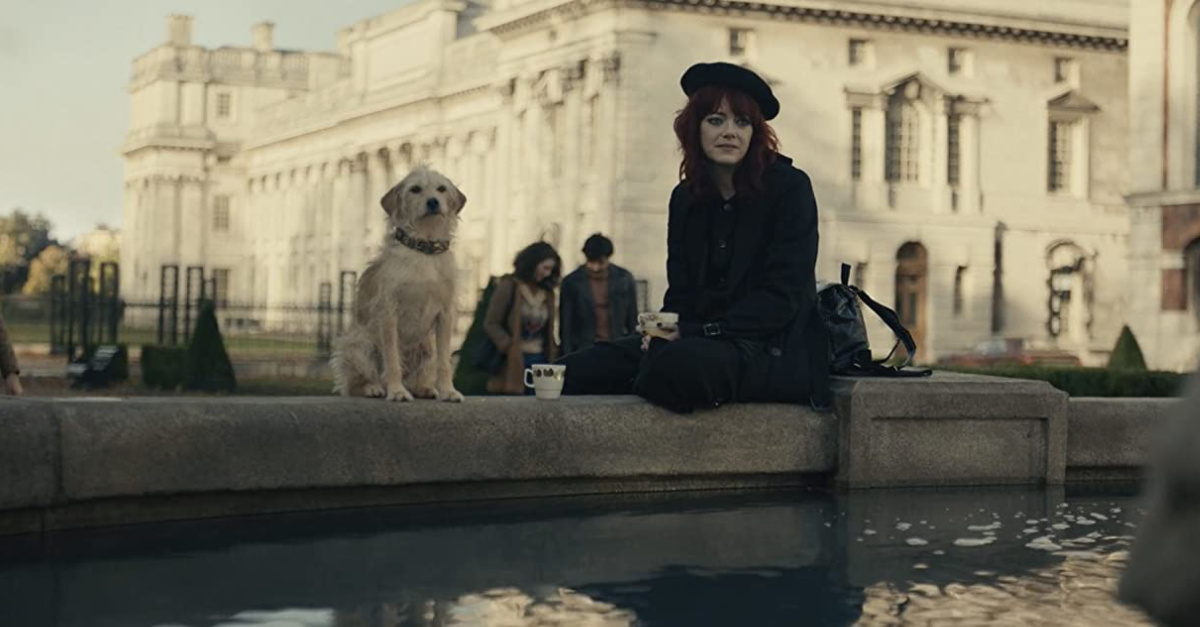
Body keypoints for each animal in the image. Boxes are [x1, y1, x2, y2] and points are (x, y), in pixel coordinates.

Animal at [336, 165, 470, 401]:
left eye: (441, 189)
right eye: (415, 189)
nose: (433, 202)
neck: (424, 249)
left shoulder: (446, 314)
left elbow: (444, 362)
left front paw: (449, 391)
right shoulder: (389, 311)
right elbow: (392, 359)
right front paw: (397, 391)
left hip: (427, 346)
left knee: (421, 373)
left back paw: (424, 388)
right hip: (361, 344)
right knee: (355, 383)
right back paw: (372, 388)